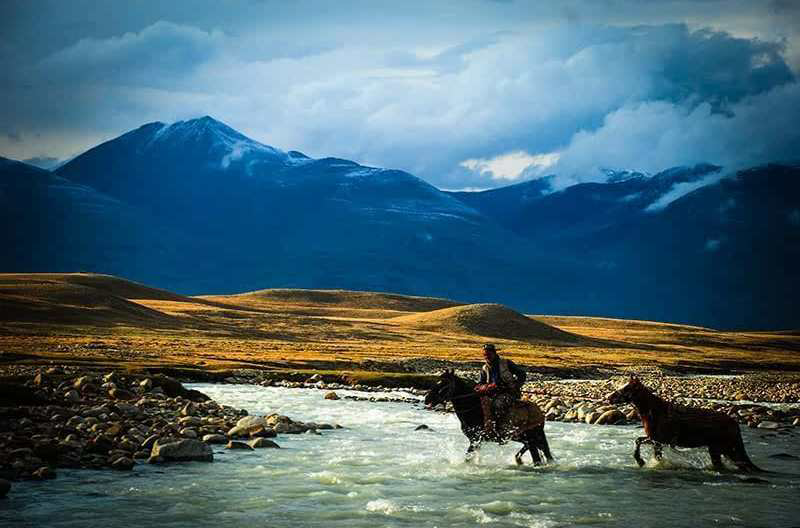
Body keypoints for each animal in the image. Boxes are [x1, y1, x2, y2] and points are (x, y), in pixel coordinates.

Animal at [422, 370, 552, 464]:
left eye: (443, 384)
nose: (426, 399)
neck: (474, 408)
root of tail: (539, 412)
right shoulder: (475, 440)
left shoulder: (476, 439)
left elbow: (468, 457)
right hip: (524, 437)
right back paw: (518, 459)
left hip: (531, 436)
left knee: (537, 456)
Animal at [608, 378, 764, 472]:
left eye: (626, 388)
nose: (609, 398)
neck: (654, 411)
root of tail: (734, 423)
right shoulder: (655, 440)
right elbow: (639, 442)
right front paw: (643, 462)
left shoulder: (658, 440)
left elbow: (640, 443)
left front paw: (641, 461)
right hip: (720, 449)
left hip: (721, 448)